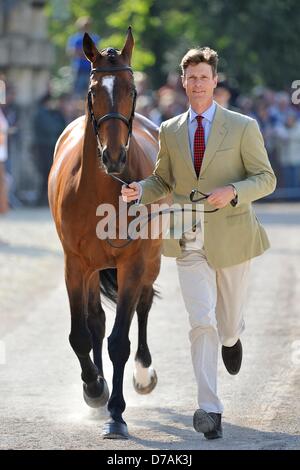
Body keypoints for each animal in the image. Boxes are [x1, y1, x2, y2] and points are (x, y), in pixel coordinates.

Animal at [48, 28, 162, 440]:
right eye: (93, 90)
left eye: (132, 88)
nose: (114, 156)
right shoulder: (75, 264)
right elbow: (82, 333)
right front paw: (94, 389)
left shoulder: (133, 261)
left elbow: (119, 340)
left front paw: (116, 413)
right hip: (93, 268)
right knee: (95, 321)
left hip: (151, 259)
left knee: (144, 304)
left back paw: (143, 374)